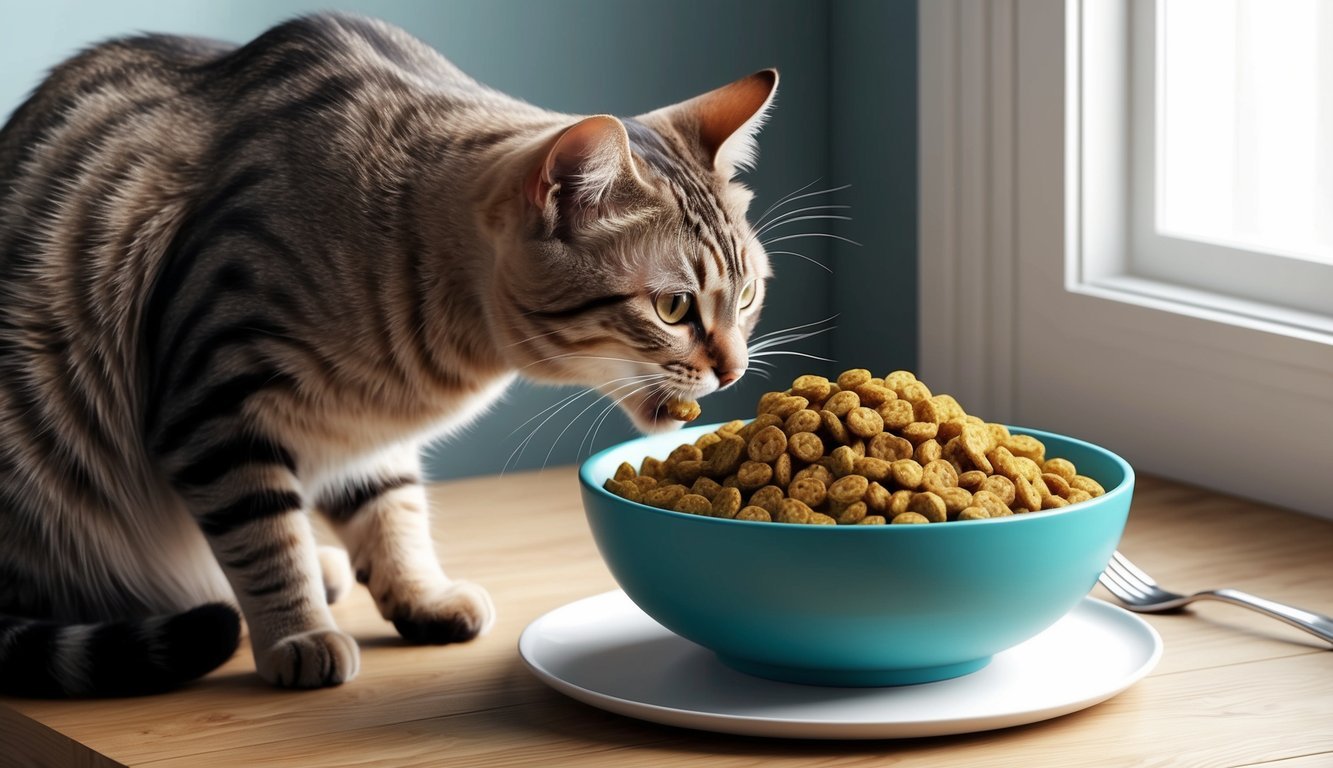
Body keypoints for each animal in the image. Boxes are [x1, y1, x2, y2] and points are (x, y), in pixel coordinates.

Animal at [0, 12, 778, 693]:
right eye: (672, 307)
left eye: (746, 295)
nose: (733, 368)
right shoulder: (213, 399)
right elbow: (263, 535)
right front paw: (298, 633)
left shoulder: (363, 433)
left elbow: (391, 513)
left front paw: (420, 597)